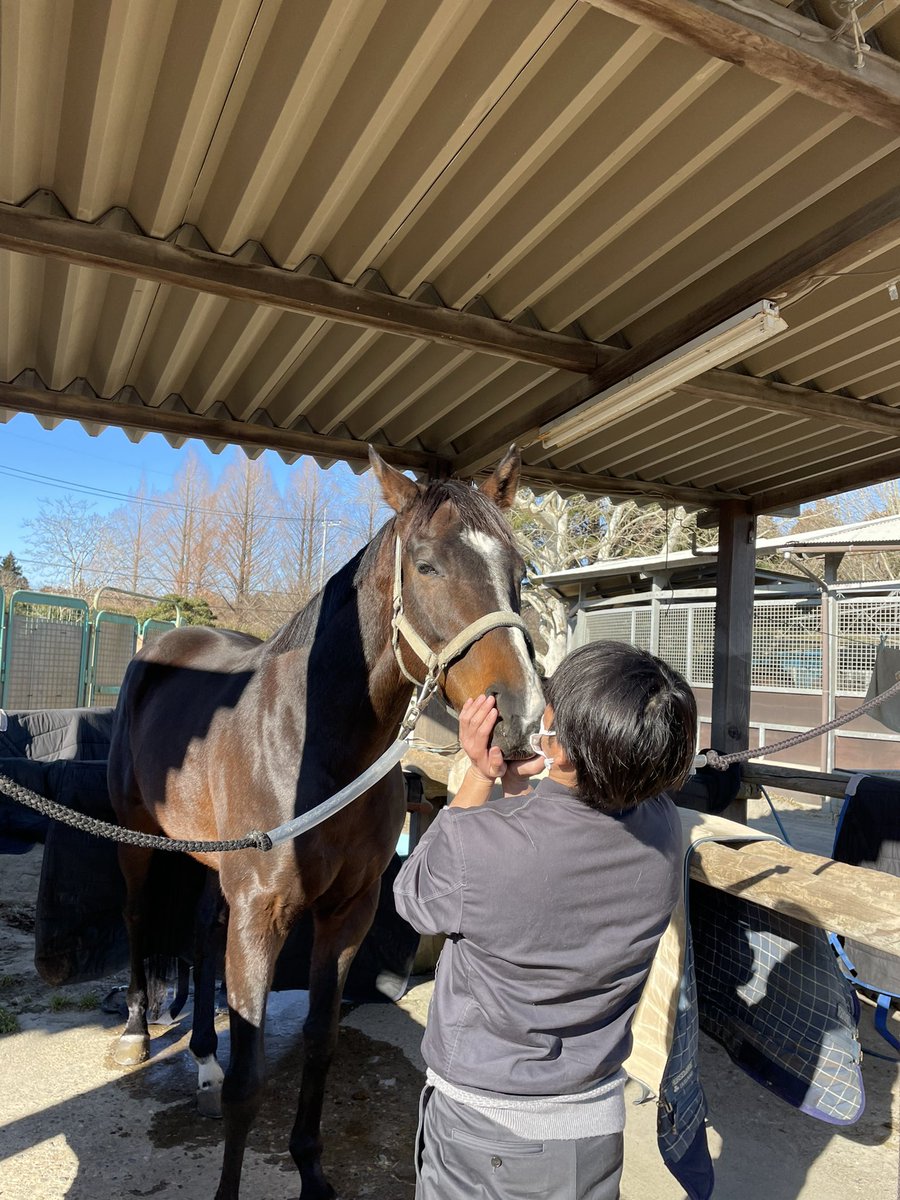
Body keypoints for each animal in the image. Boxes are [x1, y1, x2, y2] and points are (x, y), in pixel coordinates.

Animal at [105, 448, 542, 1200]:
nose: (518, 719)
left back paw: (203, 1056)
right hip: (140, 841)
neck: (315, 746)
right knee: (136, 918)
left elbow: (320, 1040)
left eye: (516, 570)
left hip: (212, 861)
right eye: (426, 565)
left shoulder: (348, 912)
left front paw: (311, 1169)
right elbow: (250, 1082)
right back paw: (137, 1029)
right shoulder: (262, 916)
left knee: (200, 932)